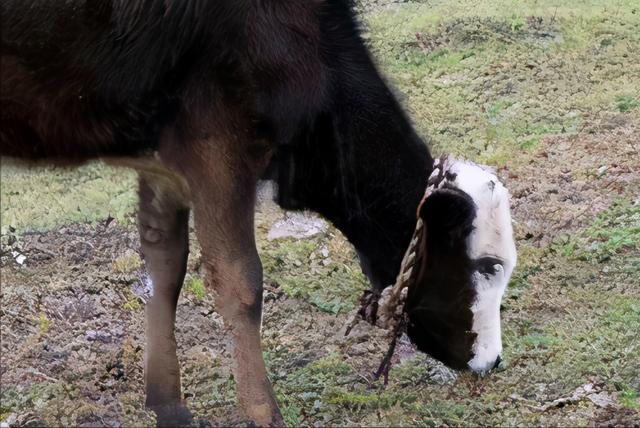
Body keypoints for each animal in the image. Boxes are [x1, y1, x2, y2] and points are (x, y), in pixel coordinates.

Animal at [0, 1, 516, 426]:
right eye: (488, 266)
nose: (492, 361)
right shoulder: (217, 141)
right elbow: (240, 283)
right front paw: (264, 413)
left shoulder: (166, 160)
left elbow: (163, 269)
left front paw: (169, 407)